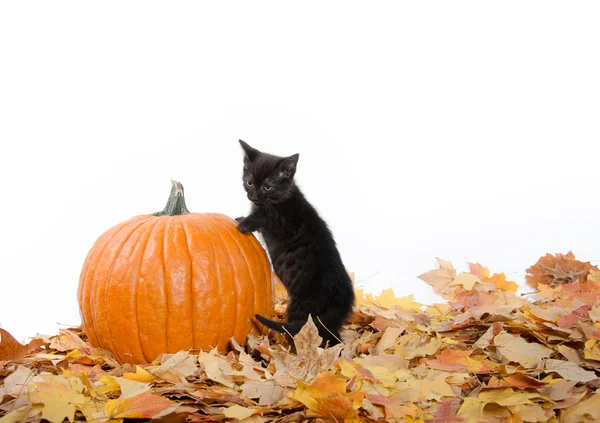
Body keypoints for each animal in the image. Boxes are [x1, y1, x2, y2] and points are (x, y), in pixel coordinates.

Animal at [236, 139, 356, 348]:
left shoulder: (284, 223)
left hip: (302, 309)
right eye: (249, 183)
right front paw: (243, 217)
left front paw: (244, 223)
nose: (253, 197)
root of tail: (343, 302)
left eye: (267, 187)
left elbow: (264, 217)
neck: (281, 198)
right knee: (333, 338)